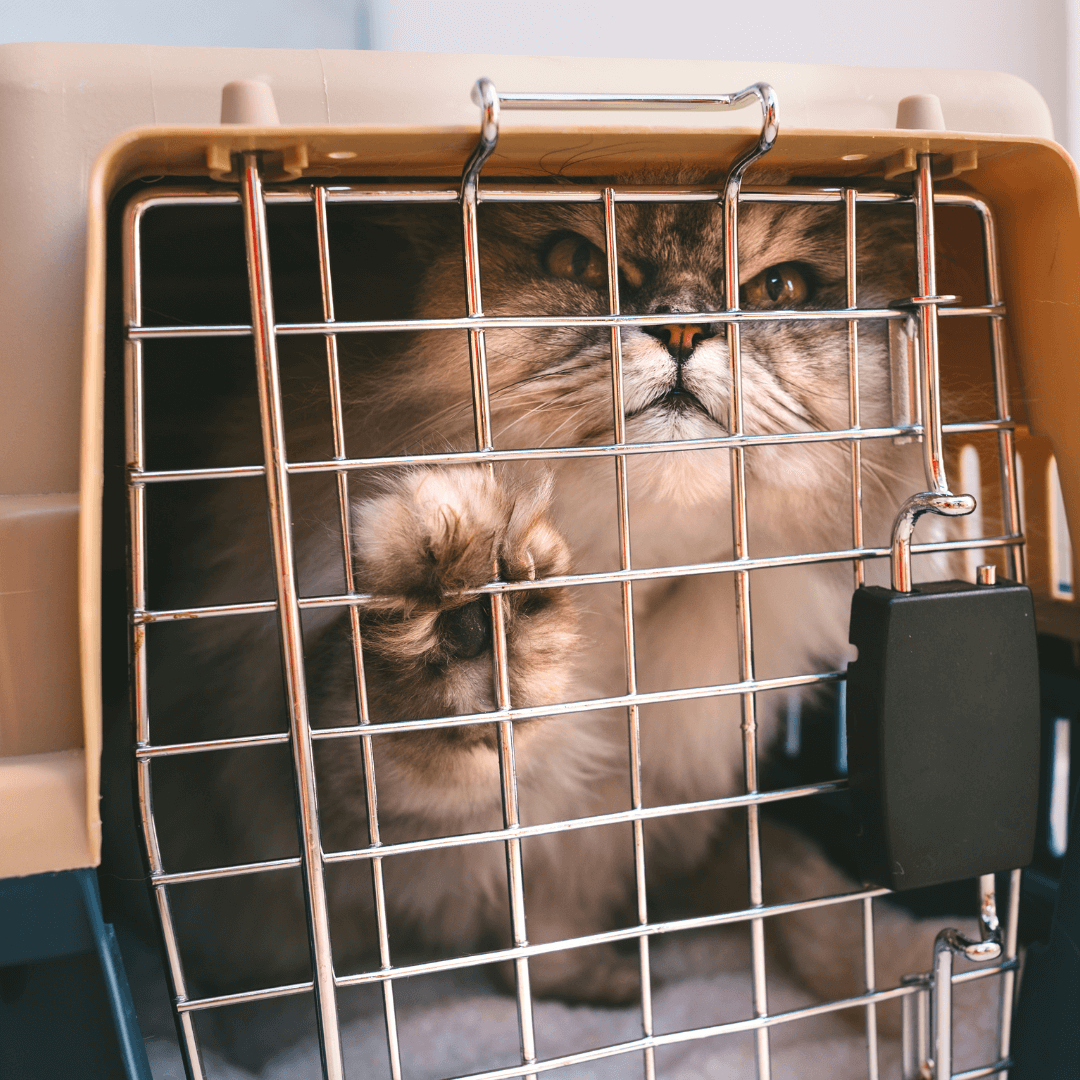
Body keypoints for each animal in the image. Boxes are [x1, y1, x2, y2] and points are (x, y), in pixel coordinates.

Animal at [135, 174, 980, 1028]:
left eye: (781, 288)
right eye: (577, 259)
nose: (684, 330)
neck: (624, 612)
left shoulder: (672, 819)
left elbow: (806, 893)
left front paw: (924, 986)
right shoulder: (331, 822)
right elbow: (423, 783)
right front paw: (467, 631)